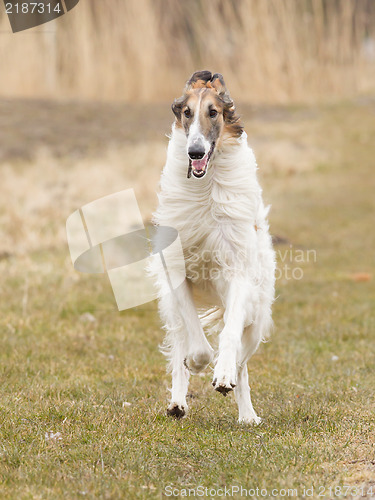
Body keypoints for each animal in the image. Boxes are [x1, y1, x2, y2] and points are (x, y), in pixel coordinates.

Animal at [151, 69, 276, 422]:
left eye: (213, 112)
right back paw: (178, 402)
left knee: (242, 362)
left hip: (257, 312)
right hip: (171, 306)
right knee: (181, 343)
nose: (194, 152)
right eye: (186, 112)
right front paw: (197, 362)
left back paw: (245, 411)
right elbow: (196, 344)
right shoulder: (177, 272)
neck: (205, 188)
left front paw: (223, 375)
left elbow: (229, 334)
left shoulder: (238, 271)